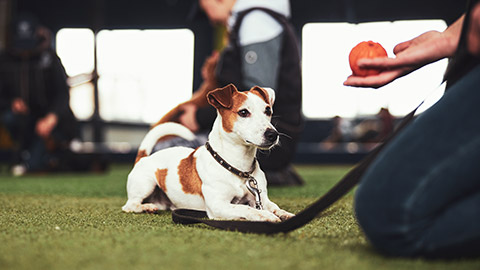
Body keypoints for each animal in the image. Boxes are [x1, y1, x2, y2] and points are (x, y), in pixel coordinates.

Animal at [122, 84, 294, 221]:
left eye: (268, 111)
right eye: (244, 112)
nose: (273, 134)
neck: (239, 167)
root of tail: (144, 156)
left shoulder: (260, 198)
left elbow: (274, 206)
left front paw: (284, 214)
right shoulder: (218, 205)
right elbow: (245, 208)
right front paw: (264, 215)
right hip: (146, 184)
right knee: (129, 205)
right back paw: (145, 207)